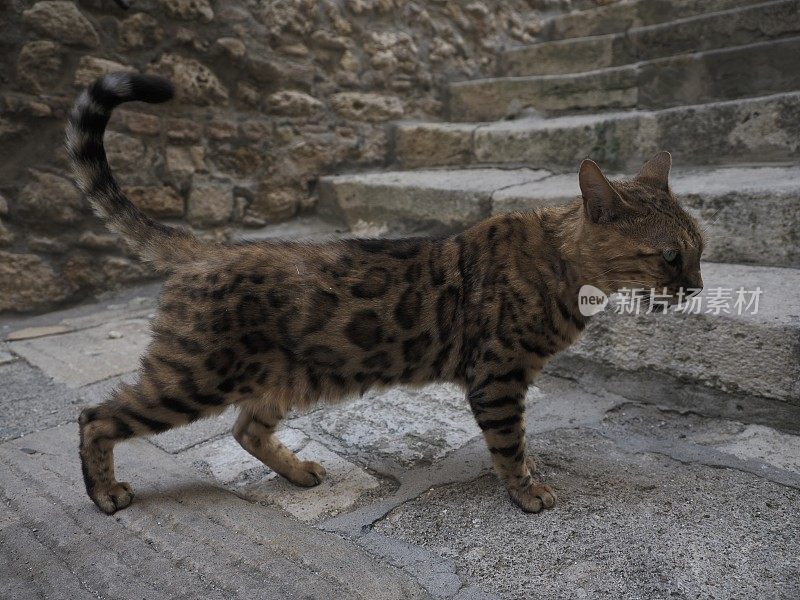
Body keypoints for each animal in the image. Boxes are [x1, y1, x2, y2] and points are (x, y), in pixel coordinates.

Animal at [70, 72, 708, 516]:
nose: (699, 287)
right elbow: (509, 445)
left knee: (246, 428)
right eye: (670, 256)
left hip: (284, 375)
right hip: (197, 375)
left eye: (700, 247)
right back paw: (106, 494)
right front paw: (527, 492)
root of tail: (208, 249)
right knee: (96, 417)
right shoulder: (497, 375)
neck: (560, 266)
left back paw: (298, 472)